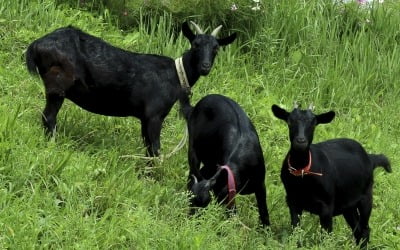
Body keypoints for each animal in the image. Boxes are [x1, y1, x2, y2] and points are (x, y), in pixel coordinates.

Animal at [25, 22, 236, 157]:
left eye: (216, 48)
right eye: (195, 44)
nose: (205, 66)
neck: (176, 74)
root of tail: (35, 45)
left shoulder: (144, 118)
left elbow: (148, 147)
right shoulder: (154, 115)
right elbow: (155, 150)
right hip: (57, 85)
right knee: (49, 117)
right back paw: (52, 144)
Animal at [272, 102, 390, 248]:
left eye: (314, 123)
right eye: (290, 121)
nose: (300, 141)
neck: (303, 175)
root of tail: (370, 158)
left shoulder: (327, 207)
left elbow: (326, 236)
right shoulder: (293, 201)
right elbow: (296, 231)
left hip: (366, 197)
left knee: (365, 229)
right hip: (348, 205)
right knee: (357, 228)